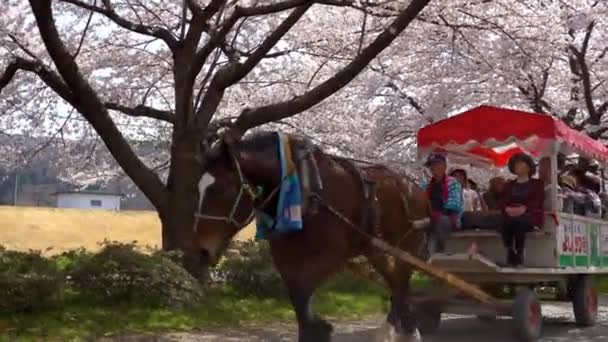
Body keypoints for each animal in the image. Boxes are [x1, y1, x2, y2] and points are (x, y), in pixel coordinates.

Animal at [195, 132, 428, 342]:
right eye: (198, 189)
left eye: (221, 189)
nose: (202, 250)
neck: (302, 188)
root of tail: (414, 187)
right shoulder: (286, 258)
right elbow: (298, 299)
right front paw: (317, 328)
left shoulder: (332, 256)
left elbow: (303, 294)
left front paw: (320, 328)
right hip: (375, 248)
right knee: (395, 282)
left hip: (407, 246)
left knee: (401, 281)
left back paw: (407, 330)